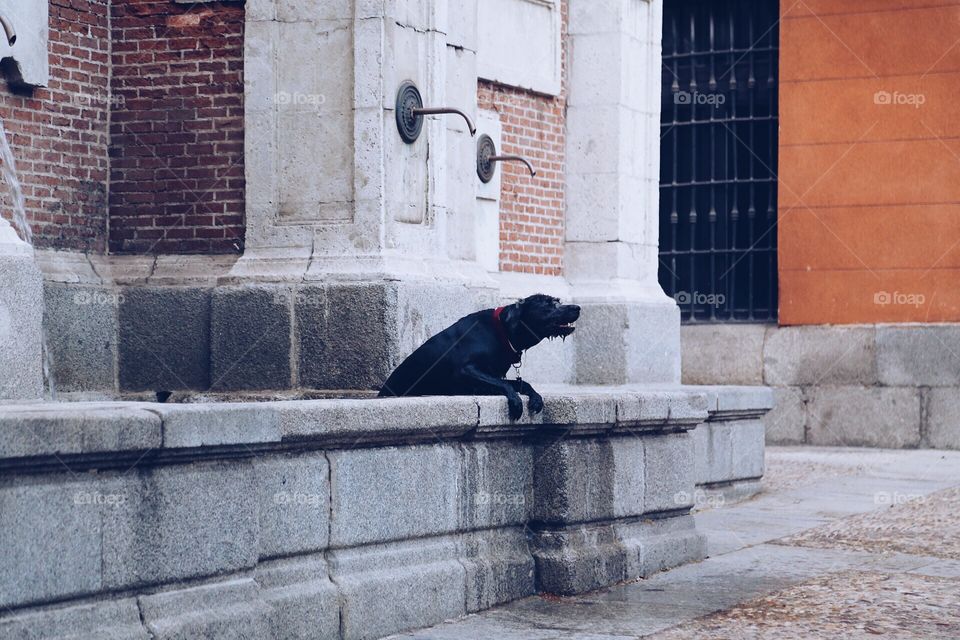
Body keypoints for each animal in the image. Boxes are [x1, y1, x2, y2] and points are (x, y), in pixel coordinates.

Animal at [378, 296, 580, 420]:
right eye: (549, 304)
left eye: (557, 301)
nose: (577, 307)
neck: (503, 331)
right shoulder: (466, 370)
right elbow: (505, 384)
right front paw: (515, 401)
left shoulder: (492, 375)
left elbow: (522, 382)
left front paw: (535, 396)